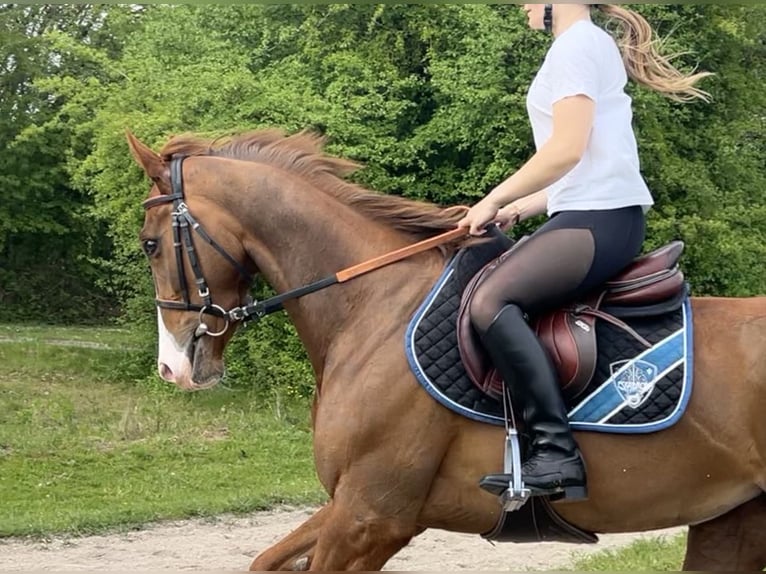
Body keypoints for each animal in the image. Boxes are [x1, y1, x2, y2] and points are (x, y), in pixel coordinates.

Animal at [126, 128, 766, 571]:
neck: (374, 306)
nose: (172, 367)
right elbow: (265, 560)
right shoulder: (355, 506)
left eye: (150, 244)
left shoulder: (372, 516)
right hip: (731, 518)